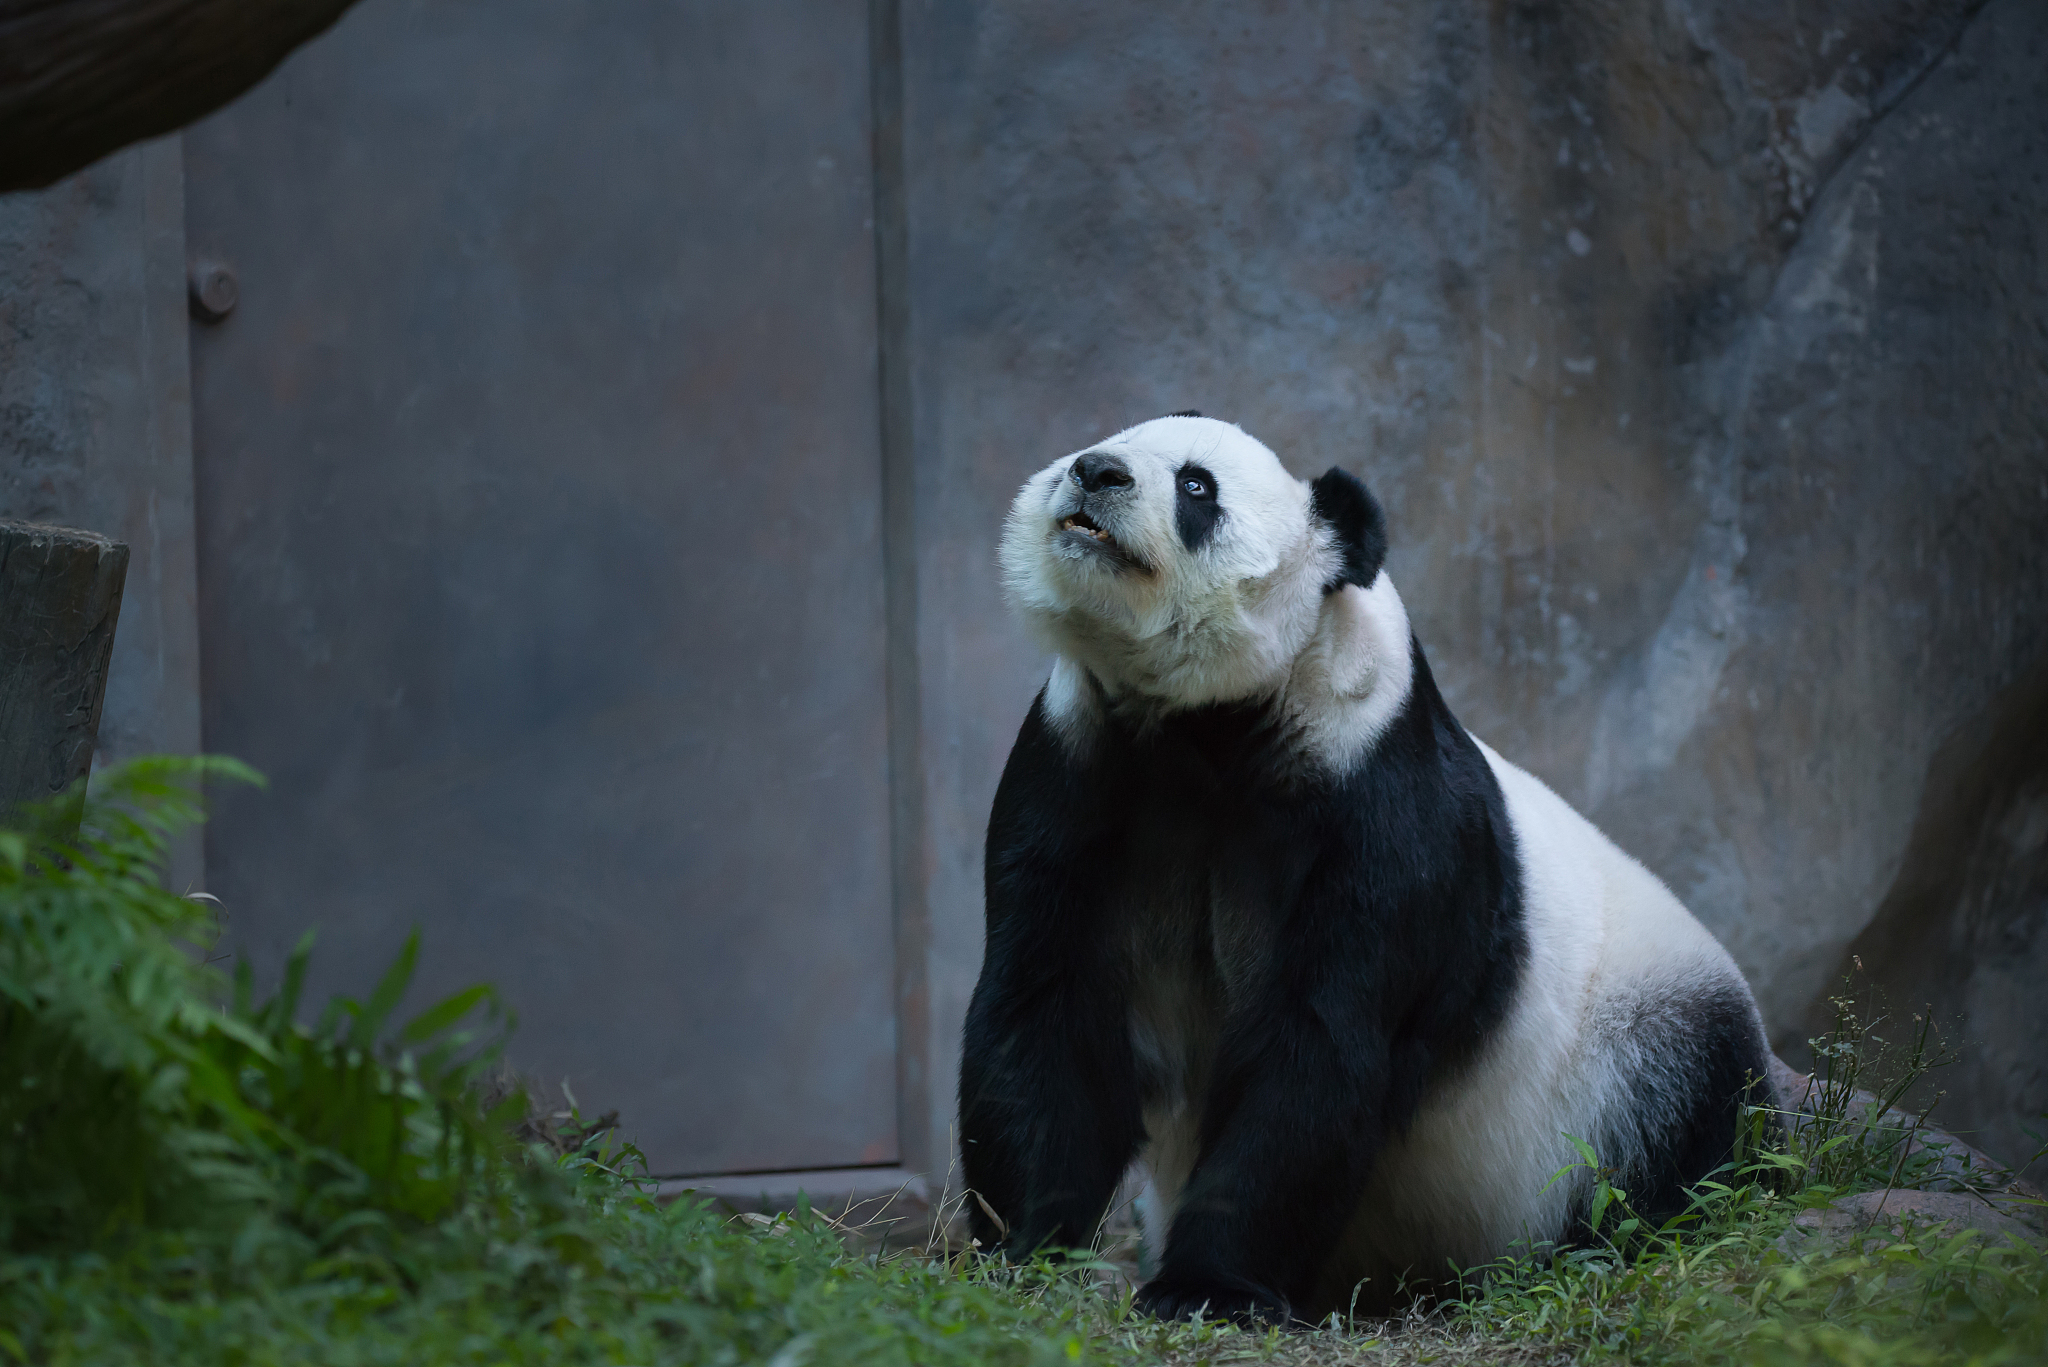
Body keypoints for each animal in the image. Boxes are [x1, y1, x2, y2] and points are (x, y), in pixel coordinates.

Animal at [957, 414, 1773, 1325]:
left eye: (1197, 485)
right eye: (1103, 442)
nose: (1095, 472)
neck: (1208, 728)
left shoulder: (1381, 800)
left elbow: (1320, 1041)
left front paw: (1203, 1288)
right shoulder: (1078, 762)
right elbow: (1046, 1004)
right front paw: (1028, 1257)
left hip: (1641, 1043)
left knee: (1676, 1140)